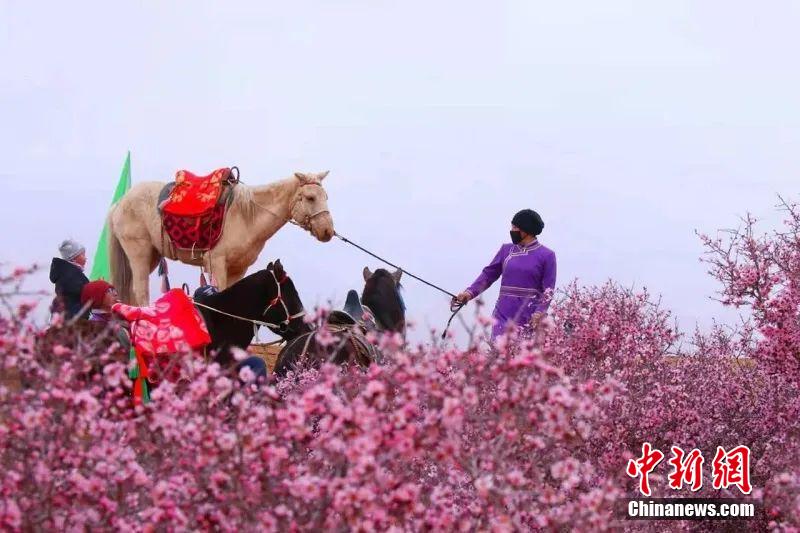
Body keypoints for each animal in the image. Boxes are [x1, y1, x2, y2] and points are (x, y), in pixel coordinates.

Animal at [108, 170, 334, 304]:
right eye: (310, 198)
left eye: (326, 197)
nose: (328, 231)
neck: (246, 216)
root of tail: (120, 203)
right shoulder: (216, 264)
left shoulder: (238, 269)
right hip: (139, 252)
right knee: (140, 292)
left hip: (152, 256)